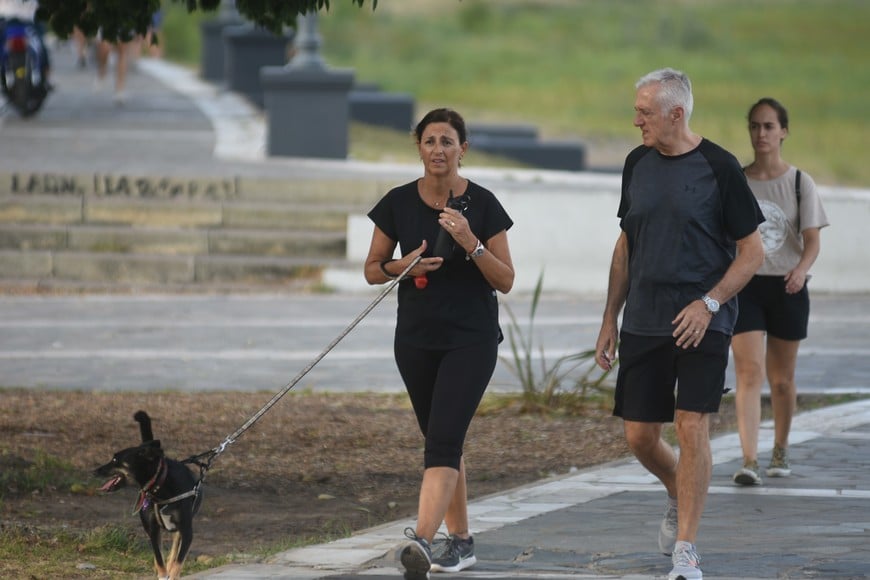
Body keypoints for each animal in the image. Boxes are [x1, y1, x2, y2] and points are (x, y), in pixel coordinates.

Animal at [96, 412, 204, 580]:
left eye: (115, 460)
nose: (95, 471)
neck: (160, 486)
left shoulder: (187, 531)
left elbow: (178, 561)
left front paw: (173, 573)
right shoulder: (152, 529)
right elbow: (159, 558)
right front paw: (162, 573)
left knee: (174, 549)